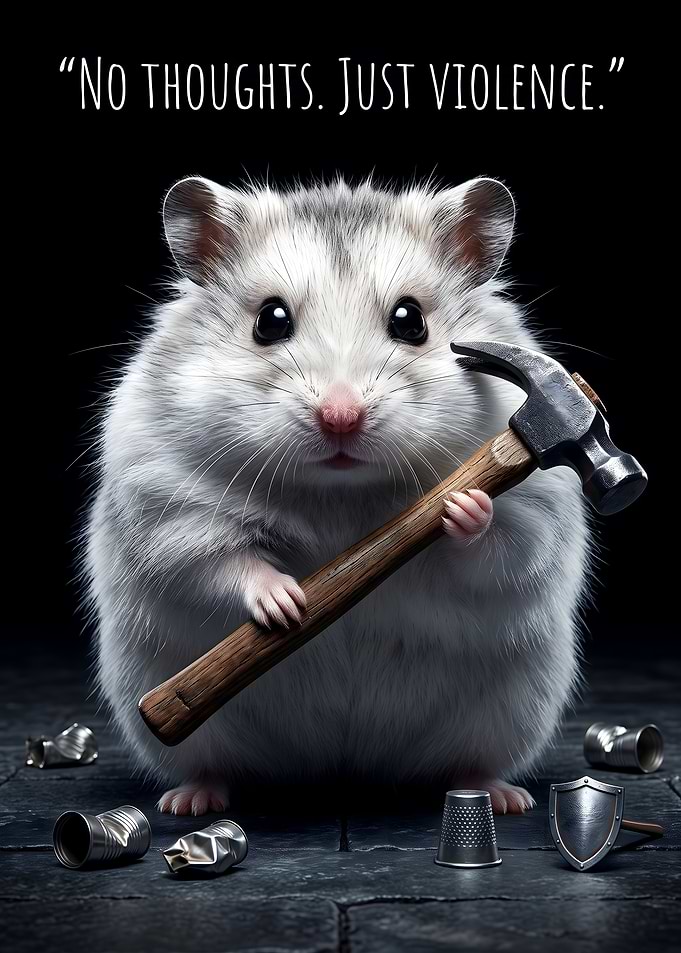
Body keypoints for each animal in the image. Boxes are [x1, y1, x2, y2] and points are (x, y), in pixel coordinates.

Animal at [86, 175, 590, 815]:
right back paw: (191, 801)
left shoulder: (539, 511)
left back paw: (502, 797)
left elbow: (501, 549)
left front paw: (464, 507)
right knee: (212, 764)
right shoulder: (166, 503)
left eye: (411, 320)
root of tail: (342, 767)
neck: (341, 489)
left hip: (507, 712)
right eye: (270, 320)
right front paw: (286, 602)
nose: (341, 418)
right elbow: (221, 559)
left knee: (470, 762)